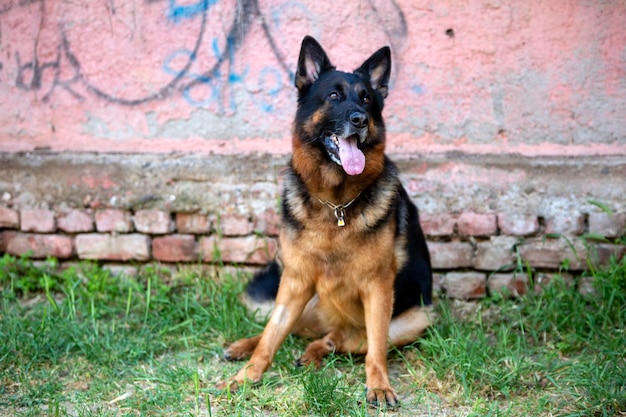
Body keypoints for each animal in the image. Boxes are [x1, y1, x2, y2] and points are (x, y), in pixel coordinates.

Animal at [217, 35, 432, 406]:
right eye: (334, 96)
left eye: (366, 99)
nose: (361, 119)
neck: (336, 203)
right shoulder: (295, 280)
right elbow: (271, 336)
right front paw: (245, 377)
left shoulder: (378, 287)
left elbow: (375, 349)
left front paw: (379, 385)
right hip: (295, 295)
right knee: (284, 327)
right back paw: (246, 346)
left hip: (415, 319)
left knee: (343, 339)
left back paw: (314, 352)